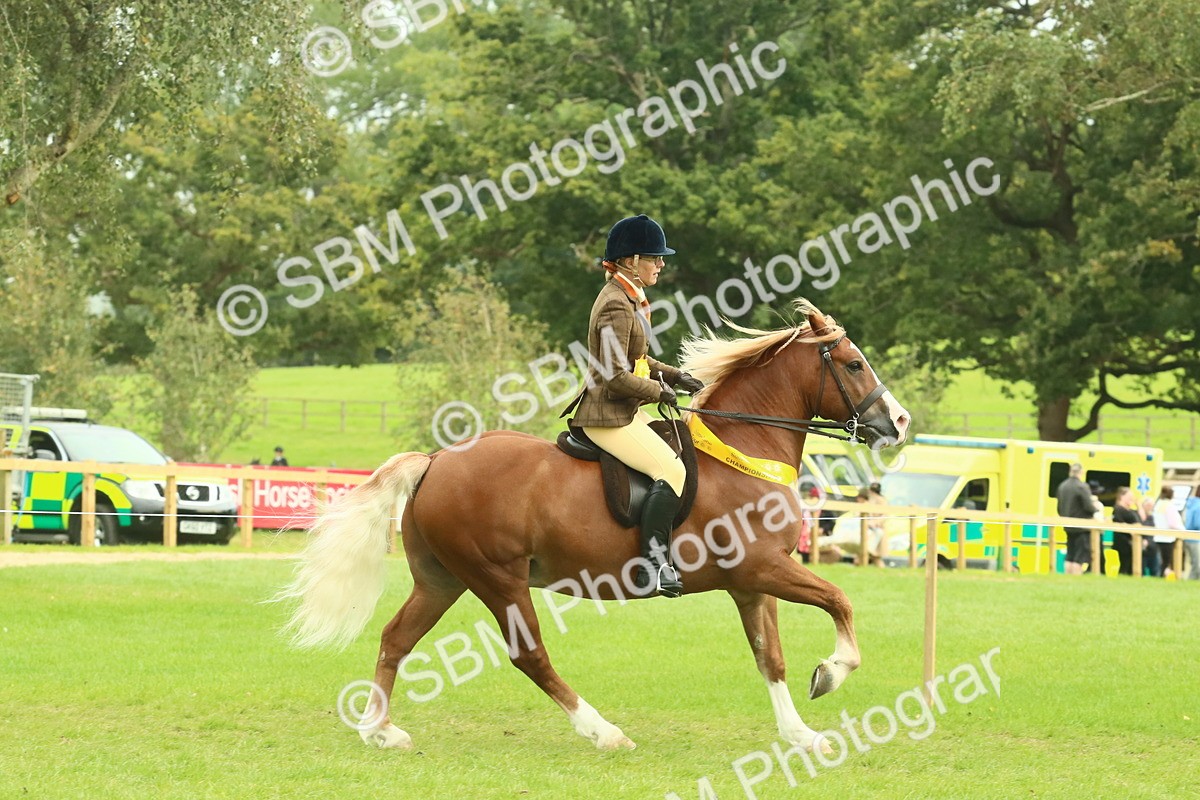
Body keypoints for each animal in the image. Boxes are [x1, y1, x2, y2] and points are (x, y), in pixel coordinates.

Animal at [278, 299, 910, 753]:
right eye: (853, 364)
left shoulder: (753, 583)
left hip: (443, 578)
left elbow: (770, 658)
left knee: (396, 638)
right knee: (529, 656)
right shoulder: (762, 568)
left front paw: (801, 733)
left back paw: (380, 731)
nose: (900, 423)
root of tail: (436, 459)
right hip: (497, 579)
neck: (744, 447)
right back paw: (605, 733)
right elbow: (840, 601)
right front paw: (831, 673)